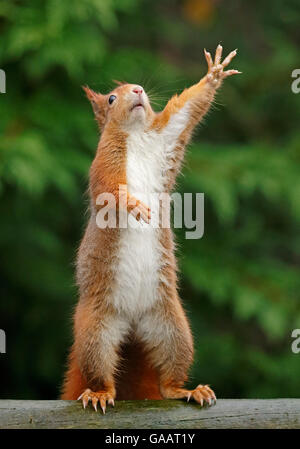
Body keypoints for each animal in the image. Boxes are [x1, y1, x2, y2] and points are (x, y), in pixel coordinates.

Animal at [61, 46, 239, 412]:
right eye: (111, 98)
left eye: (136, 86)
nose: (139, 90)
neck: (136, 135)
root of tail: (131, 324)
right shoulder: (104, 164)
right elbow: (109, 192)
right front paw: (135, 206)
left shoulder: (166, 137)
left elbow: (187, 110)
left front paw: (213, 75)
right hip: (96, 330)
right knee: (99, 369)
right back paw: (100, 393)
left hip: (172, 327)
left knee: (169, 376)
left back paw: (186, 389)